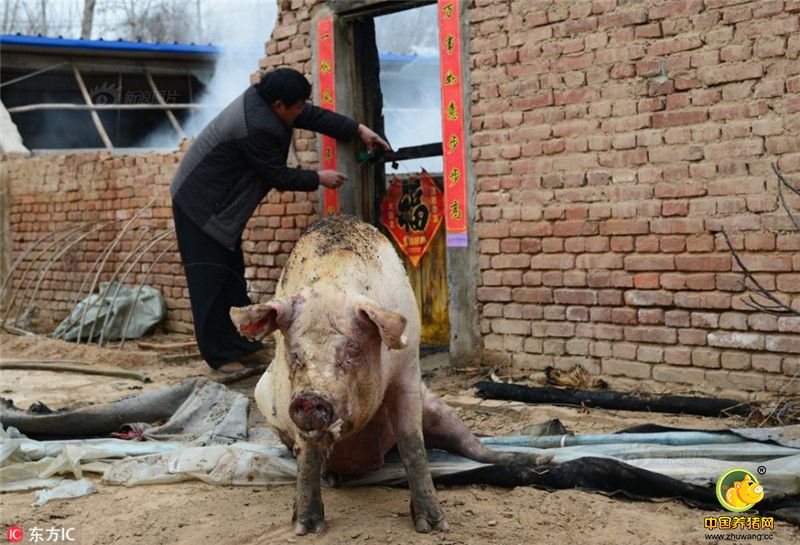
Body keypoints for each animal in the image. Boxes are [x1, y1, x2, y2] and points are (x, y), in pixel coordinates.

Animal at [228, 215, 548, 532]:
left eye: (352, 352)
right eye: (294, 354)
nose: (310, 397)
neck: (333, 277)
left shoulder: (407, 369)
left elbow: (412, 443)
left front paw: (435, 526)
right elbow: (308, 452)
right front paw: (307, 528)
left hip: (437, 408)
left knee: (476, 449)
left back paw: (532, 459)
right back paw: (331, 477)